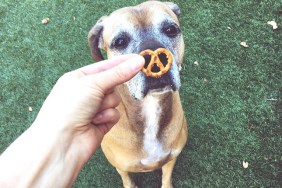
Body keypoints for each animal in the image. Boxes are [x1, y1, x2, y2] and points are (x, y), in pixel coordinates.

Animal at [87, 0, 186, 187]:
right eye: (120, 41)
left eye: (170, 29)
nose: (157, 60)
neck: (150, 107)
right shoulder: (121, 166)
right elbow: (127, 180)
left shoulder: (171, 159)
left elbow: (166, 178)